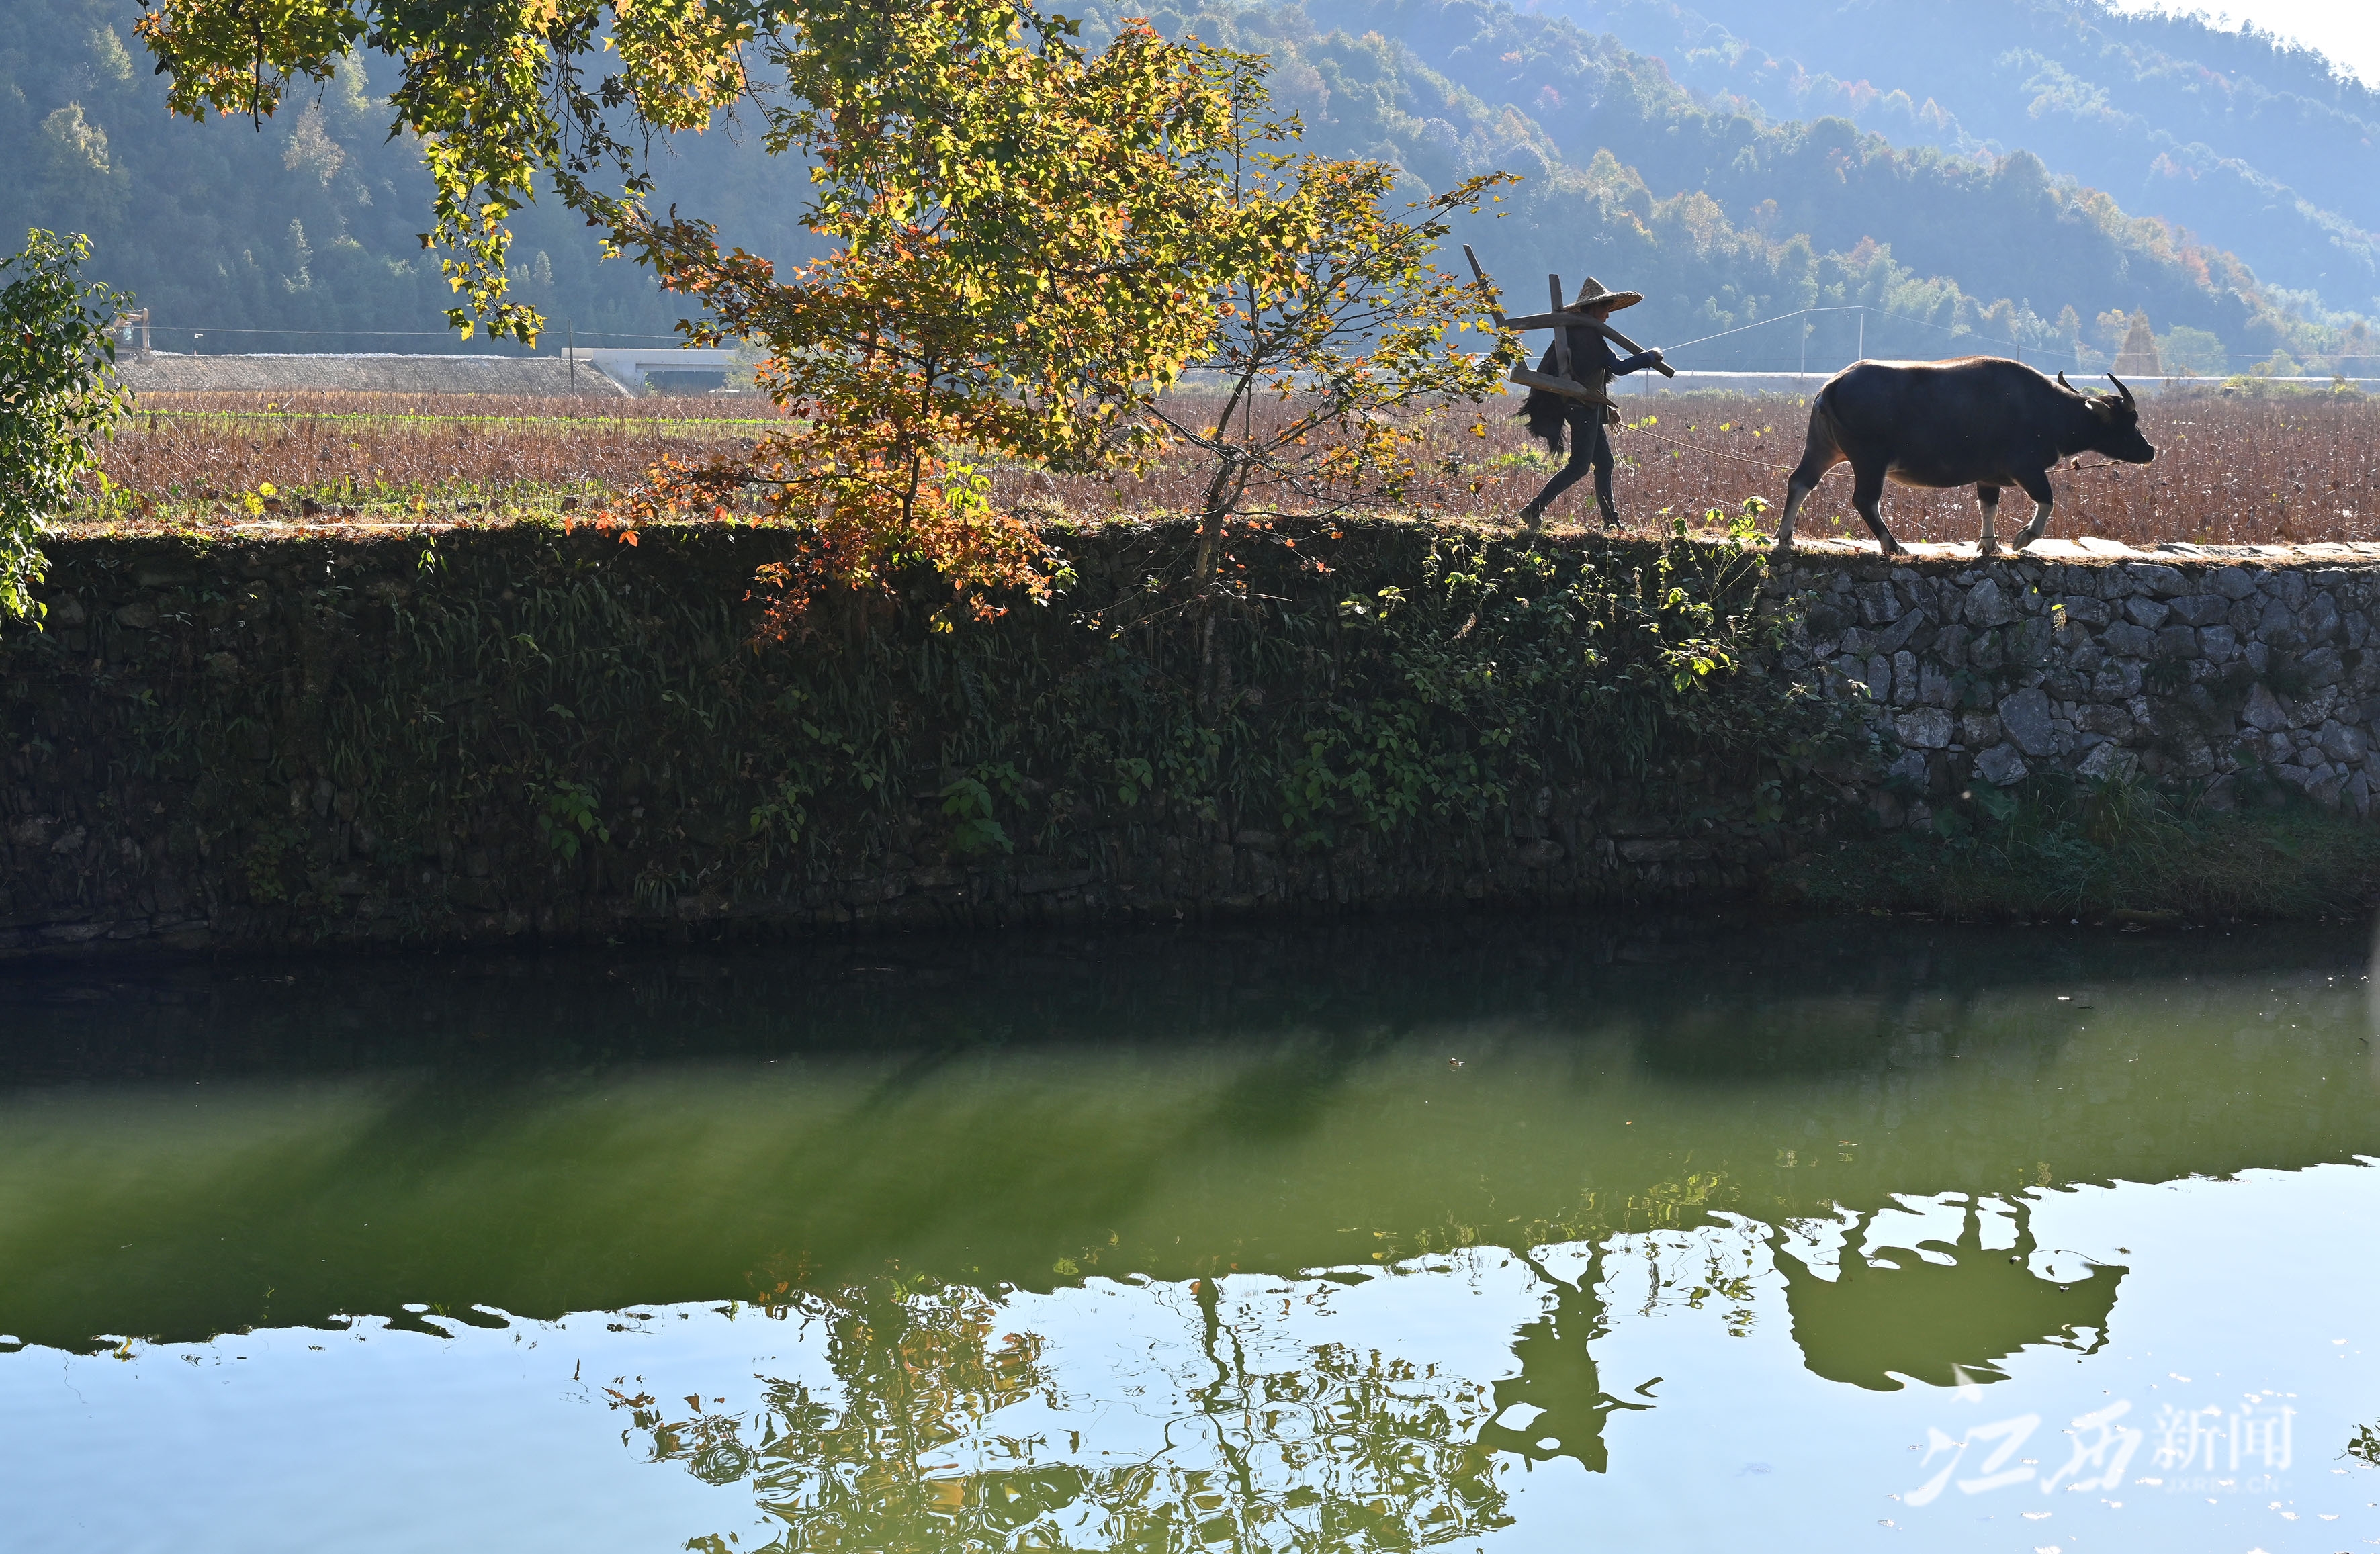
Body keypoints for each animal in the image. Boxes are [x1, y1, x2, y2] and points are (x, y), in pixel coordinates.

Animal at [1770, 357, 2161, 557]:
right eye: (2129, 421)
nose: (2150, 450)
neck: (2048, 411)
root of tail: (1834, 383)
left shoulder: (1988, 476)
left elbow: (1989, 507)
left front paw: (1990, 545)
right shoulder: (2027, 468)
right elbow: (2047, 501)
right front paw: (2022, 539)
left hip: (1824, 448)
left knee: (1800, 482)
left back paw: (1786, 537)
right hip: (1870, 459)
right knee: (1864, 500)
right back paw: (1893, 545)